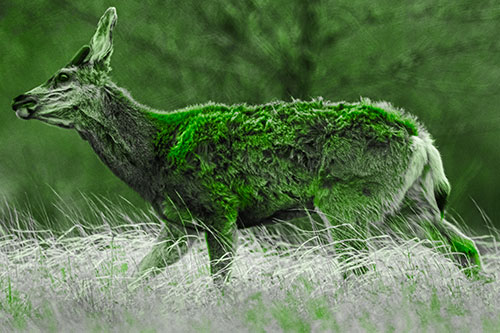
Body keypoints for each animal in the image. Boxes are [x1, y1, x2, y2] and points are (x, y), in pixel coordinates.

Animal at [11, 7, 482, 282]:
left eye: (63, 77)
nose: (19, 100)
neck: (152, 156)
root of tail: (420, 139)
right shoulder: (178, 225)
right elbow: (136, 277)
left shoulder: (217, 210)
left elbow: (220, 284)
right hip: (408, 204)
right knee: (465, 249)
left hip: (348, 201)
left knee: (361, 271)